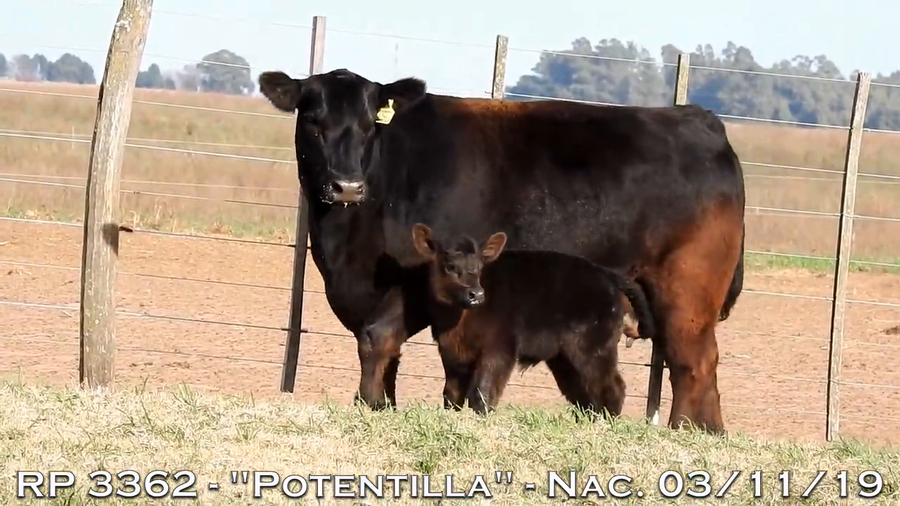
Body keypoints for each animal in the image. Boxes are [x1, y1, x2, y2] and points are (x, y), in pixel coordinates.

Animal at [408, 223, 656, 417]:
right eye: (449, 266)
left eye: (478, 267)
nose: (476, 294)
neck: (458, 322)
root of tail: (607, 274)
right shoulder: (452, 354)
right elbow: (451, 395)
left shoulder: (499, 349)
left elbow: (482, 394)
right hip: (565, 358)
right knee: (584, 395)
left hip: (593, 349)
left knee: (612, 388)